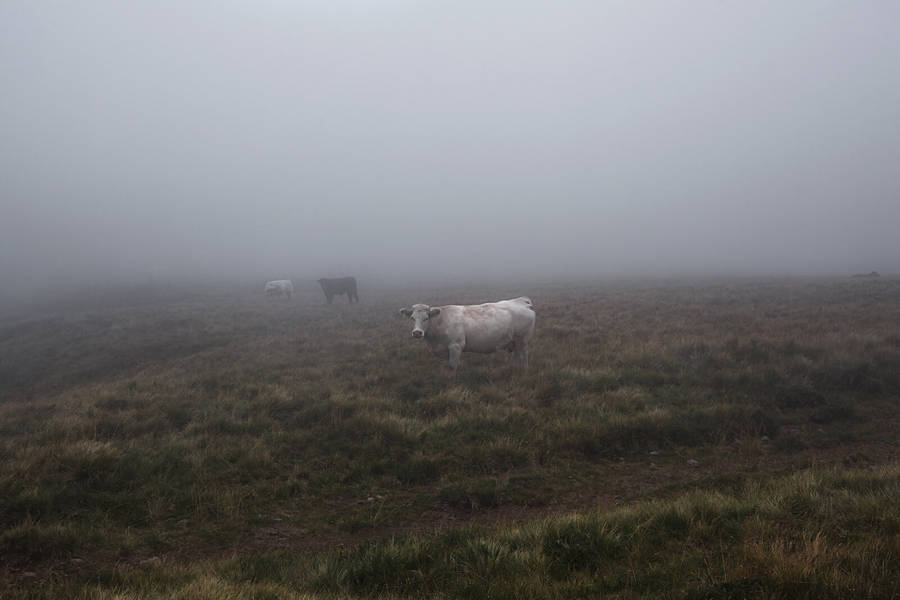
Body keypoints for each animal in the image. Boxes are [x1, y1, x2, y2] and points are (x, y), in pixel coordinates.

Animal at [400, 296, 536, 376]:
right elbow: (447, 366)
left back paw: (524, 372)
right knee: (517, 356)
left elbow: (452, 366)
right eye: (412, 318)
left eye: (426, 318)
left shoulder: (456, 346)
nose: (417, 332)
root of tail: (521, 302)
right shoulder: (445, 349)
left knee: (524, 356)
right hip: (515, 342)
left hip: (522, 341)